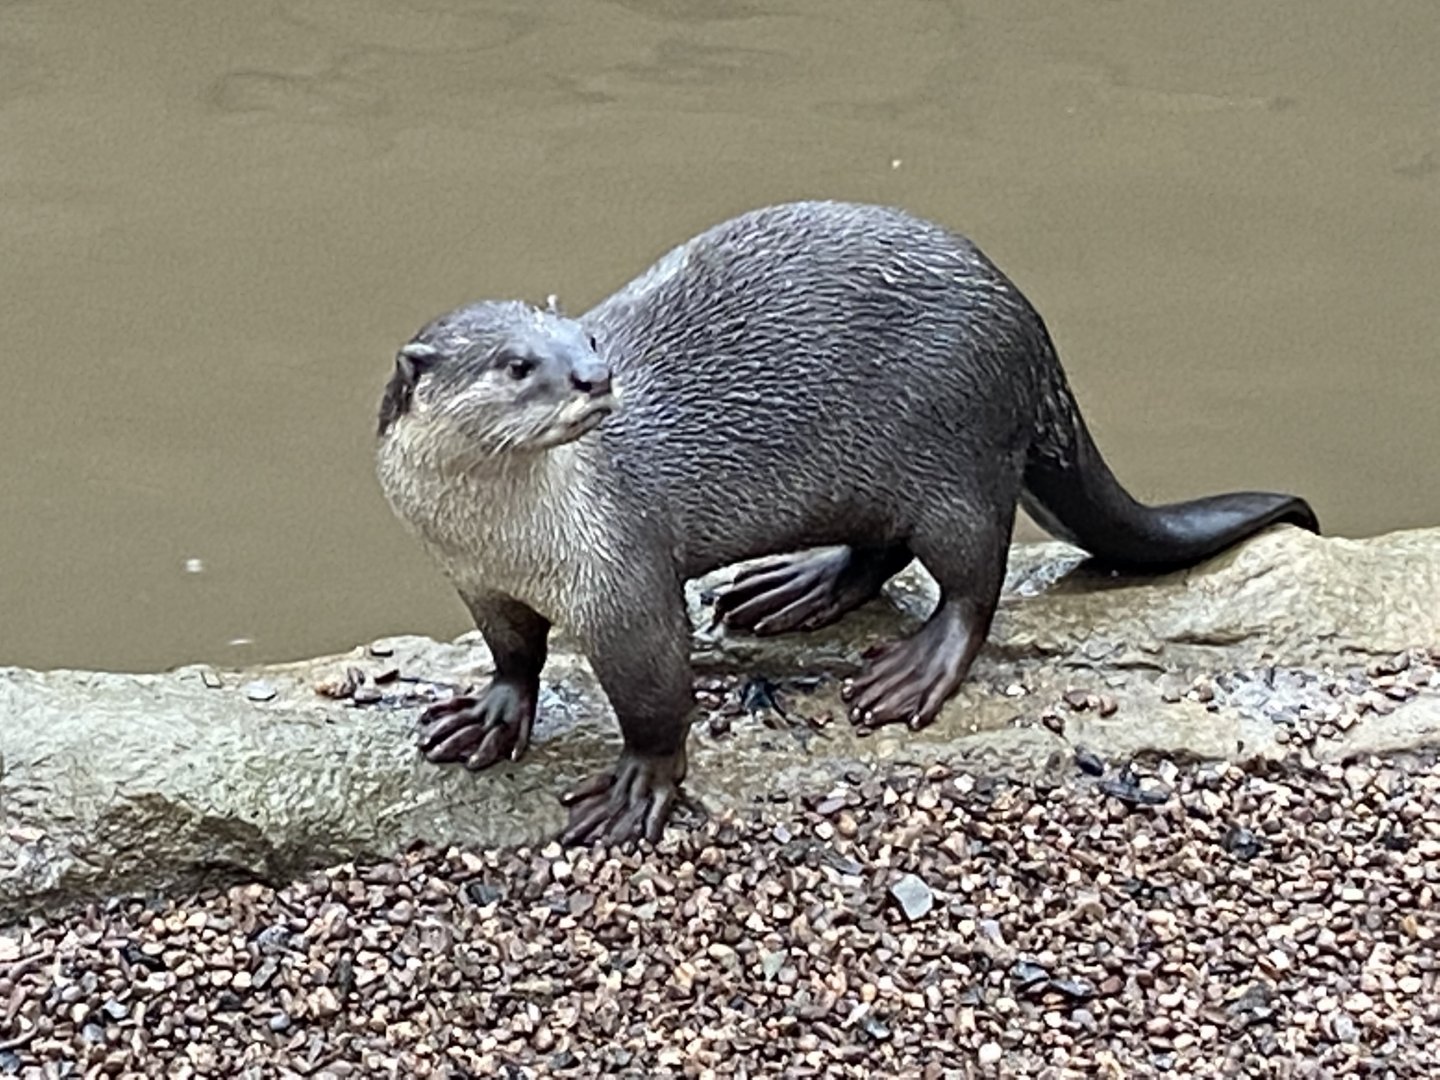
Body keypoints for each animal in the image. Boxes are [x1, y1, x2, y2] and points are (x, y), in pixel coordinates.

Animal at [375, 200, 1318, 847]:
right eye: (517, 364)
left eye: (590, 342)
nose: (593, 381)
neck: (508, 543)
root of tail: (1029, 326)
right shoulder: (473, 580)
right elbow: (514, 654)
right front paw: (490, 713)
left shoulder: (624, 577)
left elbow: (657, 697)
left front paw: (640, 784)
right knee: (881, 550)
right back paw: (798, 587)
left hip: (956, 458)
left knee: (973, 579)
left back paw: (914, 668)